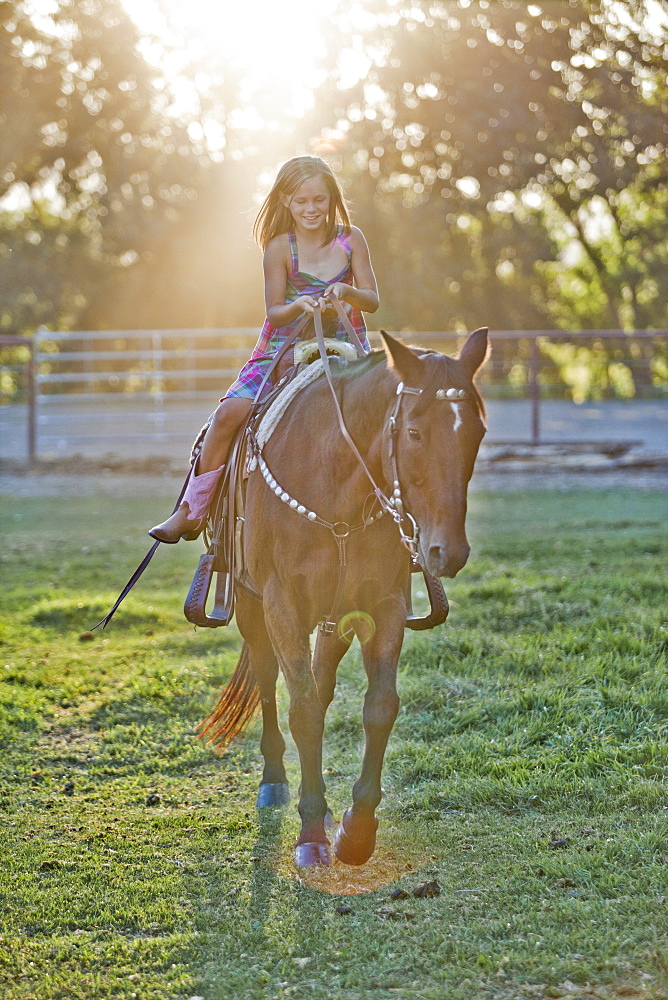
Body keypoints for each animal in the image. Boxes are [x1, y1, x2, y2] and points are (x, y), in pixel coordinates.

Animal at [200, 328, 490, 868]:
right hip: (252, 606)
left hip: (335, 618)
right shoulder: (283, 607)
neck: (335, 480)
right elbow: (303, 711)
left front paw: (356, 831)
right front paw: (312, 830)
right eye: (414, 433)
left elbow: (379, 706)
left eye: (478, 432)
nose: (447, 550)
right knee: (270, 679)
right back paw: (275, 781)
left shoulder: (382, 605)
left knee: (321, 681)